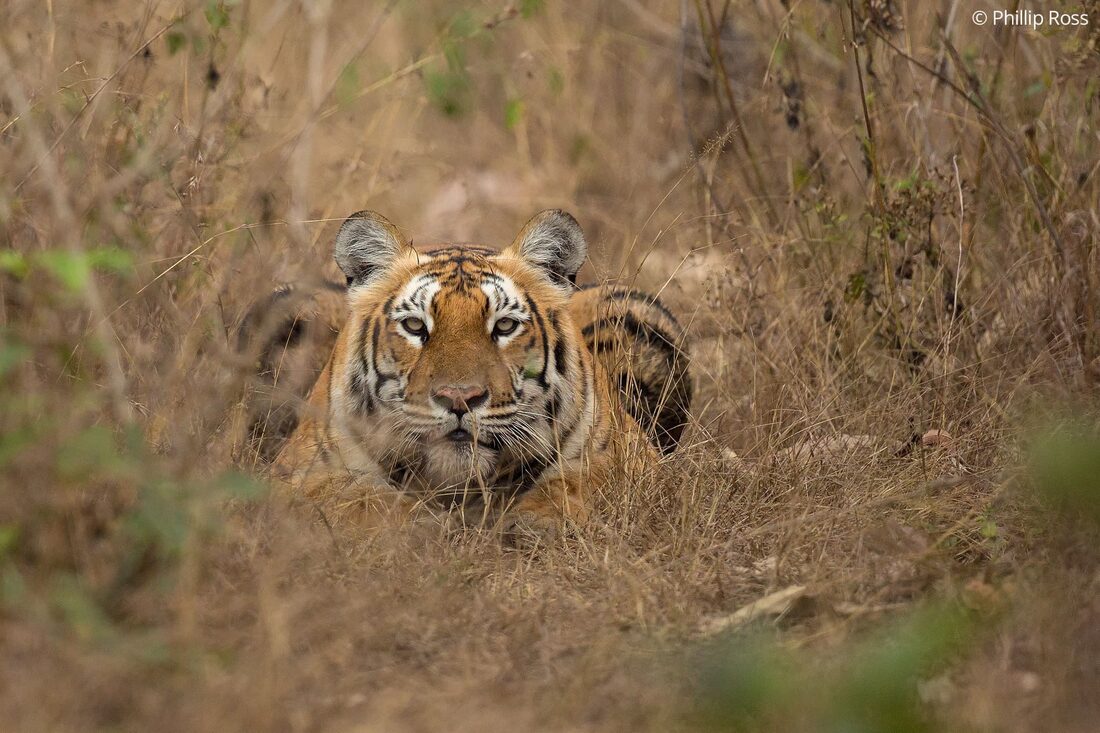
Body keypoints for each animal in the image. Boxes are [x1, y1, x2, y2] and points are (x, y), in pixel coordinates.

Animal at [237, 209, 692, 544]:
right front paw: (419, 525)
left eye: (504, 326)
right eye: (415, 326)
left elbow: (584, 481)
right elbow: (351, 496)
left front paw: (539, 522)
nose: (460, 398)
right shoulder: (293, 474)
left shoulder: (631, 456)